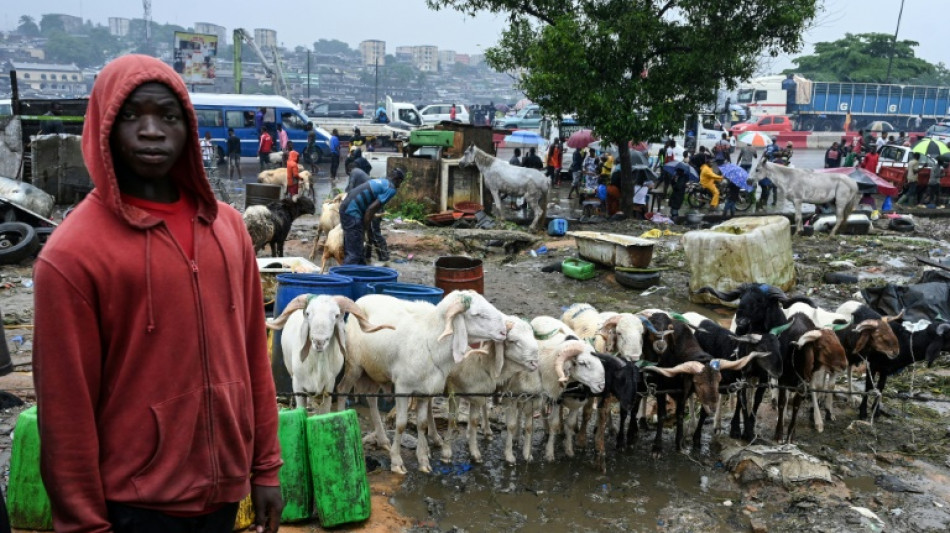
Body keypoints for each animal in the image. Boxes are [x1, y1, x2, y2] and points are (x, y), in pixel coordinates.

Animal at [264, 290, 394, 412]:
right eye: (308, 313)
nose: (319, 341)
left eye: (336, 315)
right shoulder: (297, 385)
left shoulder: (329, 386)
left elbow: (325, 412)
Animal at [338, 290, 510, 474]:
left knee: (371, 398)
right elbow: (401, 424)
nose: (503, 332)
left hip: (375, 370)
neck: (431, 340)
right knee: (342, 391)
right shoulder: (403, 387)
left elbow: (422, 424)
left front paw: (422, 460)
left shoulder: (424, 390)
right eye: (478, 314)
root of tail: (362, 298)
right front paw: (396, 461)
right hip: (354, 366)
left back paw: (383, 440)